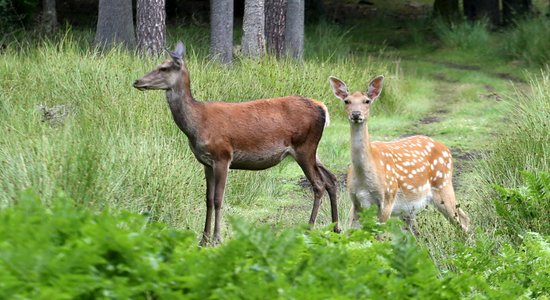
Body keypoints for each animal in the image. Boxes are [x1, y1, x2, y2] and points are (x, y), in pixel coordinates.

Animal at [134, 41, 340, 245]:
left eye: (164, 68)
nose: (137, 81)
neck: (196, 125)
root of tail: (322, 108)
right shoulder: (205, 162)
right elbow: (208, 199)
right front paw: (203, 239)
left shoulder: (223, 156)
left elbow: (218, 199)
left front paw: (217, 238)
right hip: (313, 151)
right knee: (331, 178)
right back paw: (336, 228)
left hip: (304, 147)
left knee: (319, 184)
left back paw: (309, 229)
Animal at [330, 75, 472, 232]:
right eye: (346, 101)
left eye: (367, 101)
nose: (356, 114)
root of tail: (446, 149)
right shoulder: (356, 202)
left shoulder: (388, 198)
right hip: (410, 208)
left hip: (443, 184)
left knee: (464, 220)